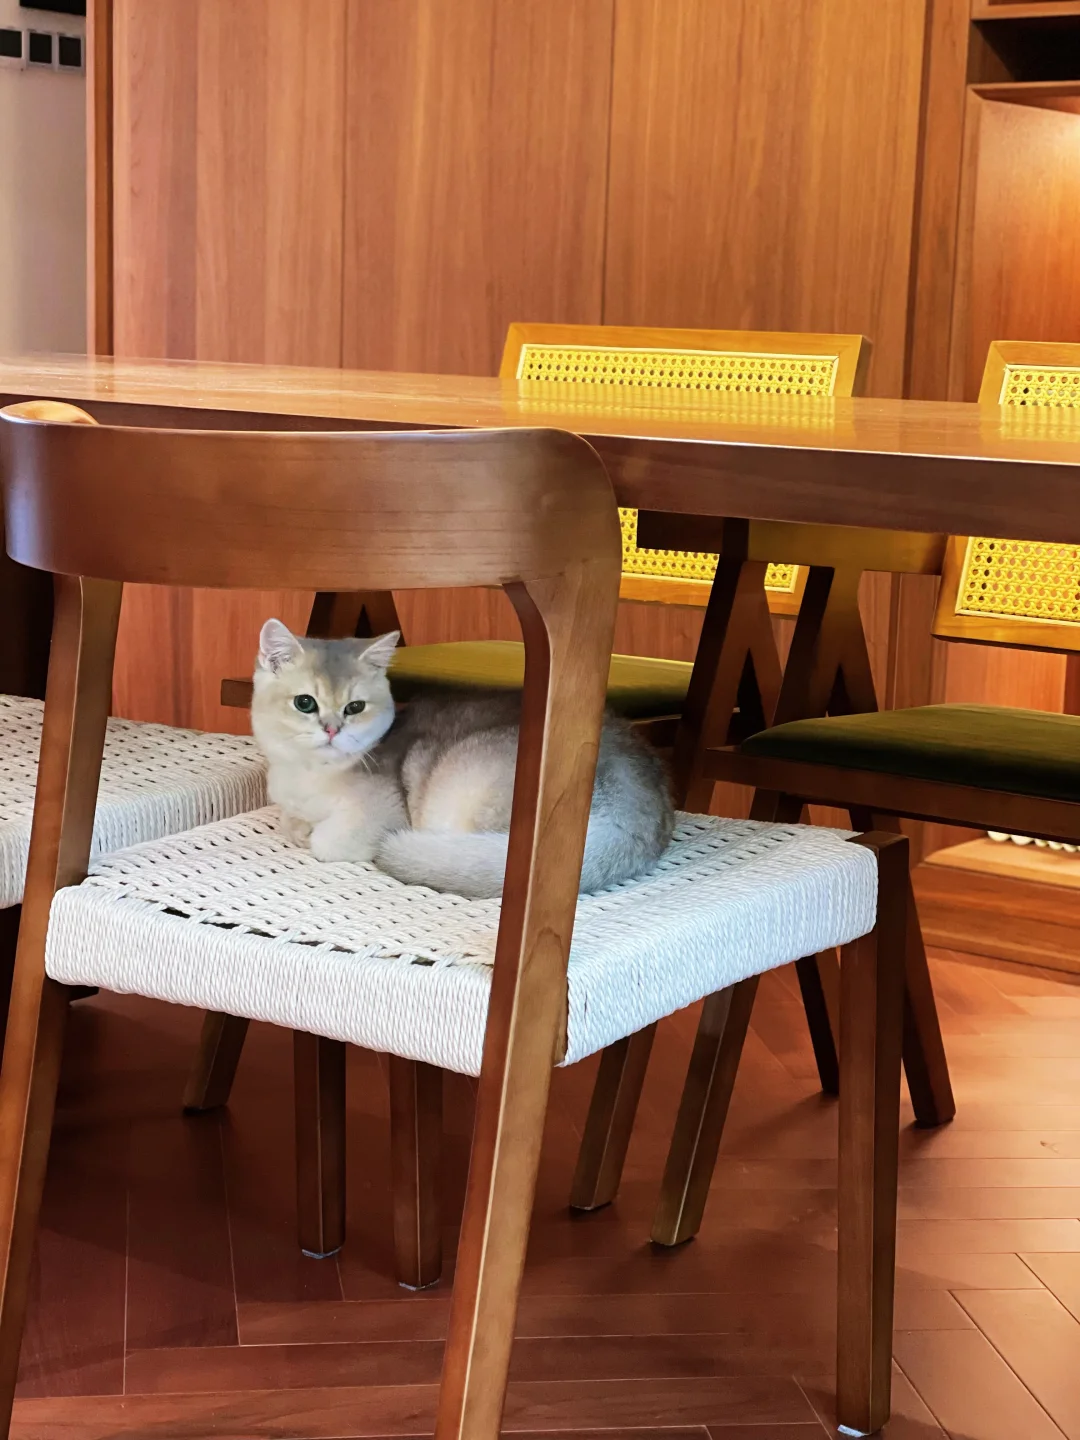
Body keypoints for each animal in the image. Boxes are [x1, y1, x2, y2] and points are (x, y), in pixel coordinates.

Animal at [251, 618, 674, 900]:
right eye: (305, 703)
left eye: (355, 707)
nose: (332, 729)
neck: (308, 777)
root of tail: (639, 808)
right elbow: (289, 822)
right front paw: (298, 827)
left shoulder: (376, 814)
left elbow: (324, 842)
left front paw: (309, 835)